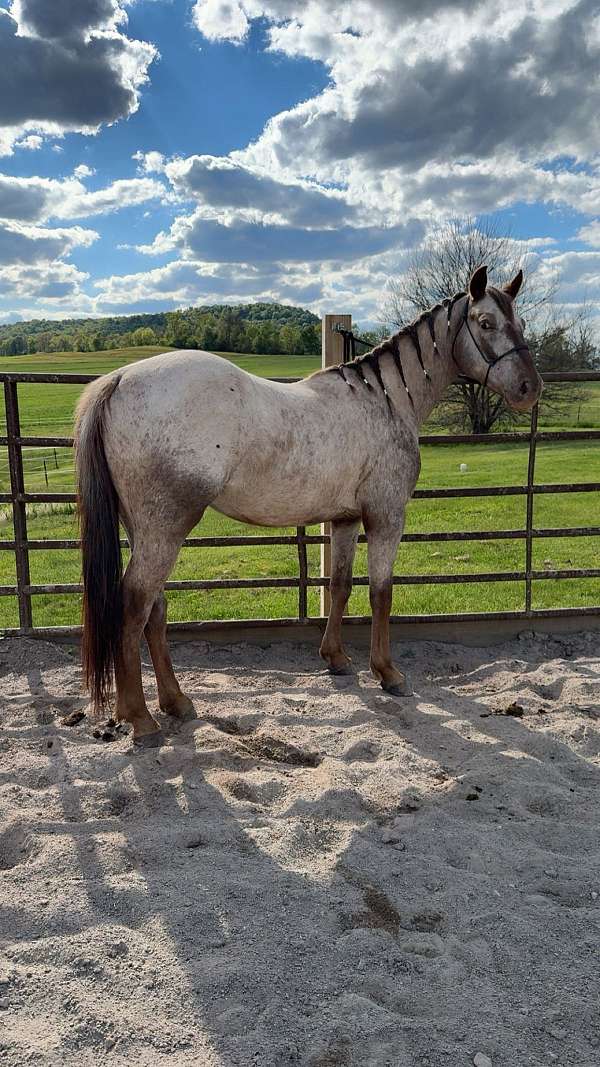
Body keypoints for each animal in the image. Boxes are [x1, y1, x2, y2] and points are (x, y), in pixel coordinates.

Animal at [75, 265, 542, 746]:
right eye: (485, 323)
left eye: (520, 323)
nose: (531, 388)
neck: (387, 400)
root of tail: (119, 380)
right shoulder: (386, 516)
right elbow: (381, 593)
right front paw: (387, 673)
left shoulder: (345, 520)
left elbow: (340, 586)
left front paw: (336, 658)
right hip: (165, 528)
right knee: (134, 607)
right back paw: (141, 718)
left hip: (145, 530)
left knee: (156, 609)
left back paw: (175, 703)